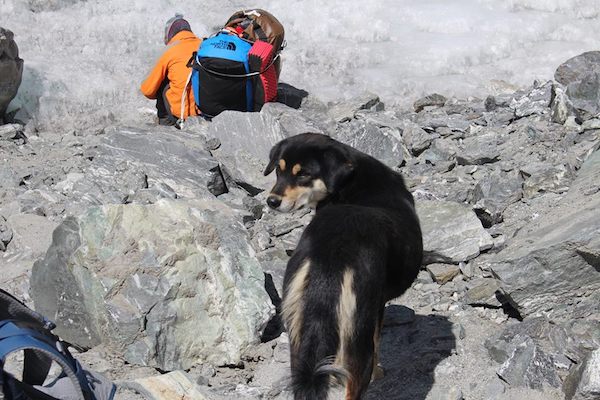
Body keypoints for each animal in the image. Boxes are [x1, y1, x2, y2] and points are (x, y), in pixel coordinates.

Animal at [262, 133, 422, 398]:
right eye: (279, 169)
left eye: (303, 174)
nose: (272, 201)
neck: (353, 181)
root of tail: (331, 255)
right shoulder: (377, 307)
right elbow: (378, 341)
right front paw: (379, 372)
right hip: (357, 337)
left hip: (300, 342)